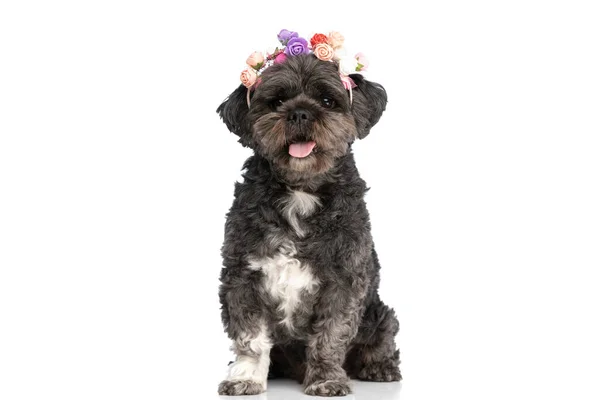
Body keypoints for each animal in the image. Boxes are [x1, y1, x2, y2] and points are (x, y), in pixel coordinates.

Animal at [214, 29, 398, 396]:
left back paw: (379, 366)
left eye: (327, 101)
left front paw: (326, 377)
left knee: (383, 337)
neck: (301, 190)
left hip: (379, 313)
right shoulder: (242, 276)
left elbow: (330, 335)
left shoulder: (344, 280)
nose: (299, 113)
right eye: (276, 102)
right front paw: (245, 376)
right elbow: (250, 337)